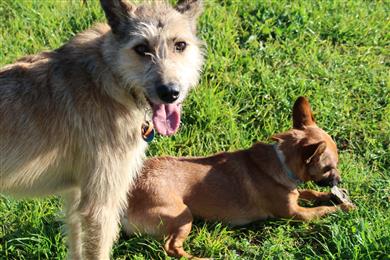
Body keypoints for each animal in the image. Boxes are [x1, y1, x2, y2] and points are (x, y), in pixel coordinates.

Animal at [123, 97, 354, 258]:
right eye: (329, 168)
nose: (339, 180)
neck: (281, 161)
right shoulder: (296, 214)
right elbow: (322, 210)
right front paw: (343, 207)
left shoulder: (295, 193)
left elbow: (311, 191)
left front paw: (332, 196)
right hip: (183, 215)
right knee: (172, 248)